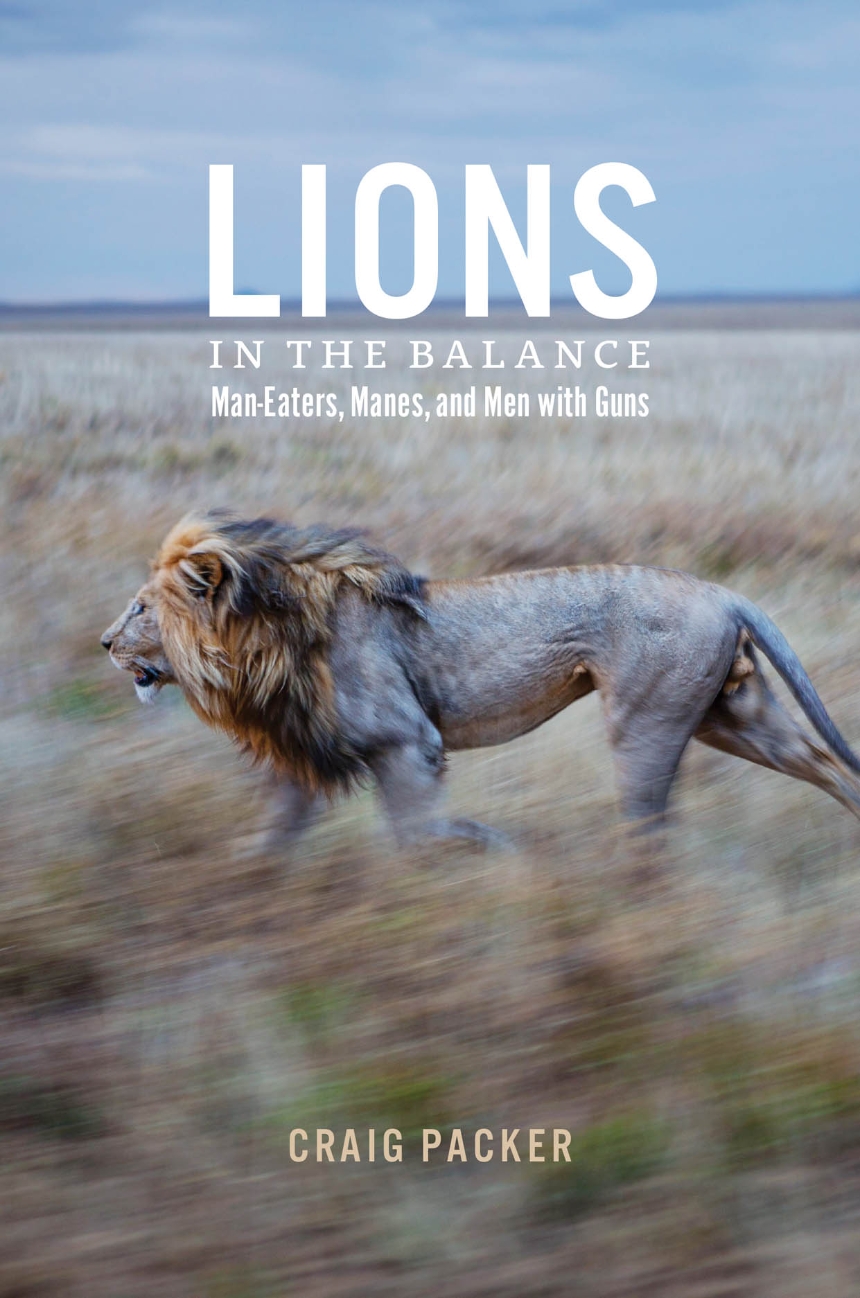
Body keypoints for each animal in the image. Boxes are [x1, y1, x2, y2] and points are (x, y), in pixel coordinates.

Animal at [101, 512, 860, 847]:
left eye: (140, 608)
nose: (105, 643)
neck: (259, 642)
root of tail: (722, 591)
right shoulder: (305, 754)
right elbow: (273, 841)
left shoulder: (406, 742)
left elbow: (419, 835)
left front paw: (483, 855)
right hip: (730, 715)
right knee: (827, 764)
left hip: (648, 722)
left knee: (648, 823)